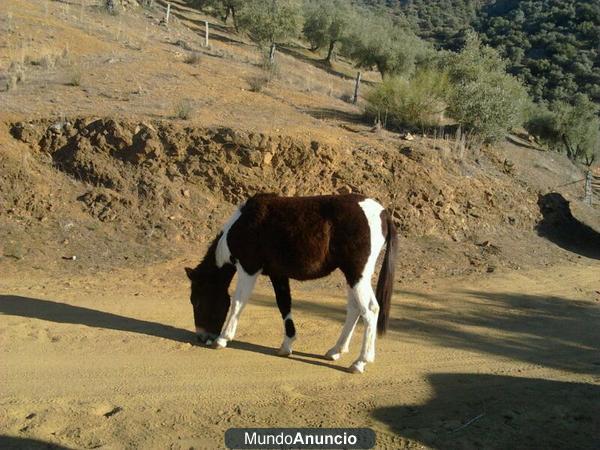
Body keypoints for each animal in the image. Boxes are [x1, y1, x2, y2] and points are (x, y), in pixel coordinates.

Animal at [185, 193, 396, 372]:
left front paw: (222, 339)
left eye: (197, 301)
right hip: (352, 276)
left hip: (356, 275)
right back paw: (336, 350)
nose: (202, 337)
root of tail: (383, 212)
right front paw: (286, 346)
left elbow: (238, 302)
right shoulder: (278, 274)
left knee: (370, 309)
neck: (242, 225)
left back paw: (360, 362)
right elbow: (284, 305)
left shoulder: (248, 269)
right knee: (354, 309)